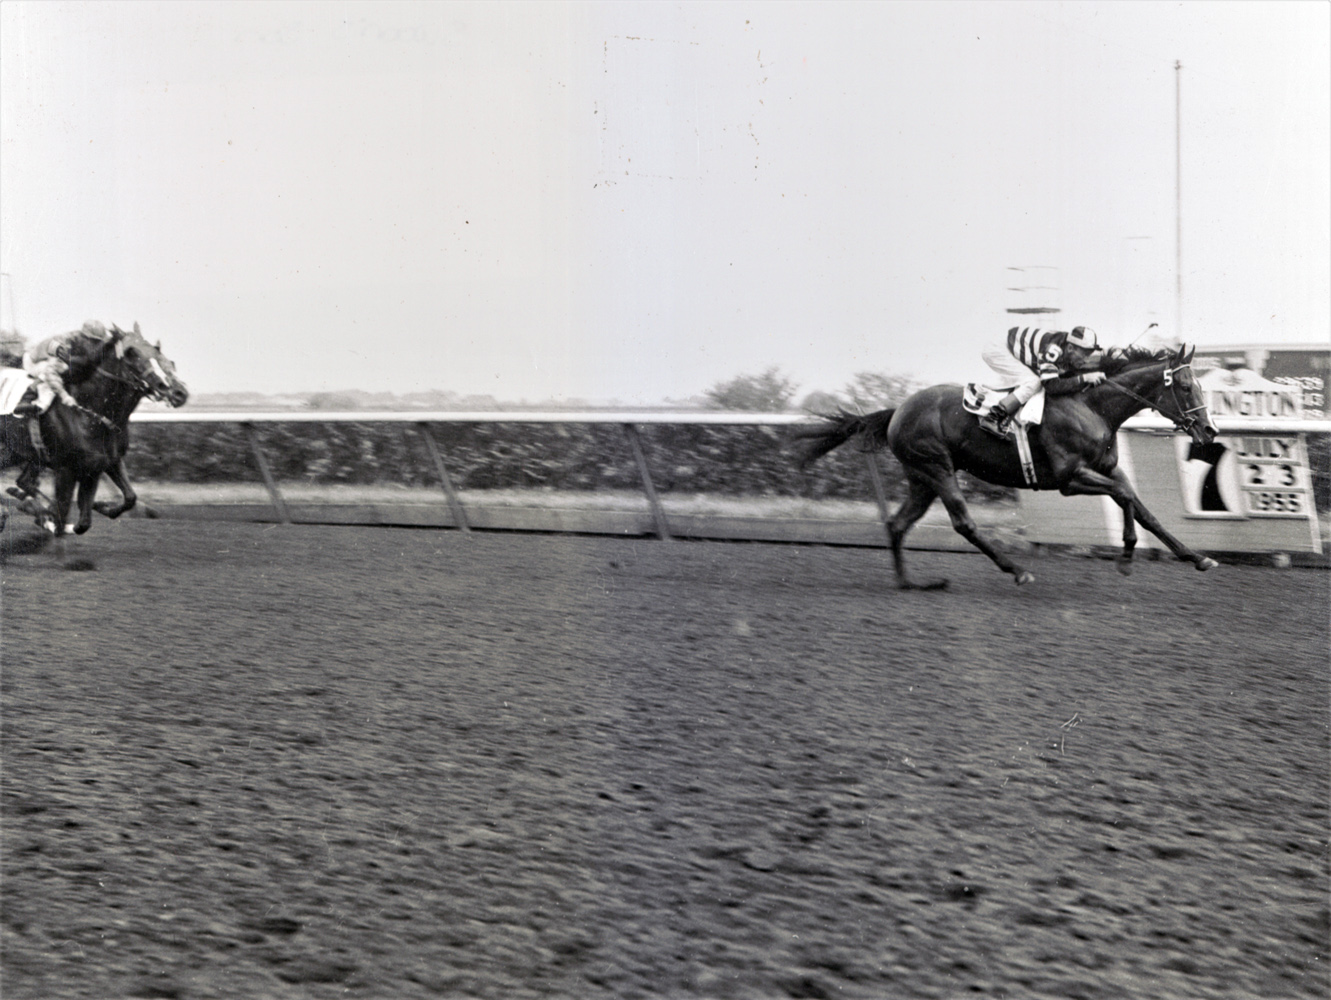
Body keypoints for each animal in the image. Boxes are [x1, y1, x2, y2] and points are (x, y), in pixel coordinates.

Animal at [0, 324, 189, 535]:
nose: (179, 393)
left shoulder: (109, 461)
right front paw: (46, 516)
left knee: (23, 481)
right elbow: (63, 517)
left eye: (160, 353)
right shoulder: (66, 470)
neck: (90, 411)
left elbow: (128, 498)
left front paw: (103, 507)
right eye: (132, 354)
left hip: (16, 453)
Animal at [793, 346, 1219, 591]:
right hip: (936, 468)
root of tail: (898, 410)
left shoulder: (1107, 469)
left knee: (897, 524)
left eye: (1200, 386)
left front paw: (1197, 557)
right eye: (1185, 388)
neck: (1091, 406)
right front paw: (1127, 556)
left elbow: (1144, 510)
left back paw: (910, 583)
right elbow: (1127, 496)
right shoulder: (1069, 478)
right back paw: (1016, 570)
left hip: (921, 478)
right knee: (963, 523)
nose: (1209, 431)